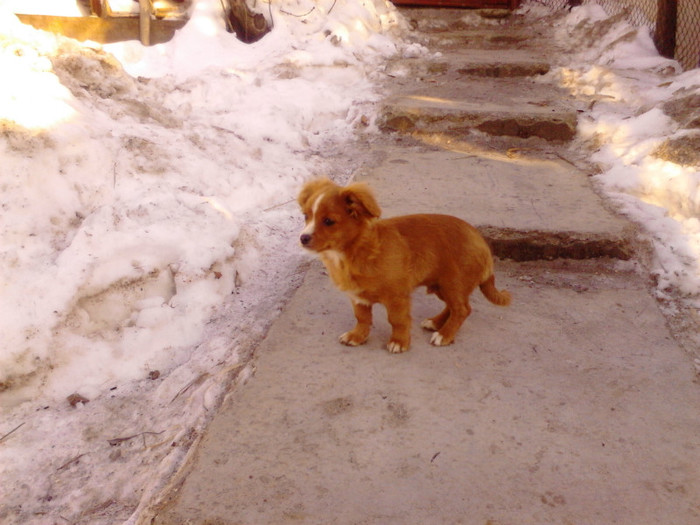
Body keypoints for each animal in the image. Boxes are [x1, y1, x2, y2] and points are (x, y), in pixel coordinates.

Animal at [298, 178, 512, 354]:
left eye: (328, 221)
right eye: (306, 216)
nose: (303, 238)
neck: (357, 250)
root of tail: (482, 242)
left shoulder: (397, 297)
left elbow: (397, 321)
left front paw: (399, 342)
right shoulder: (358, 297)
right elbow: (362, 318)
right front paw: (357, 336)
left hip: (453, 283)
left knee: (462, 309)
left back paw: (444, 335)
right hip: (443, 286)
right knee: (454, 307)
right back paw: (435, 323)